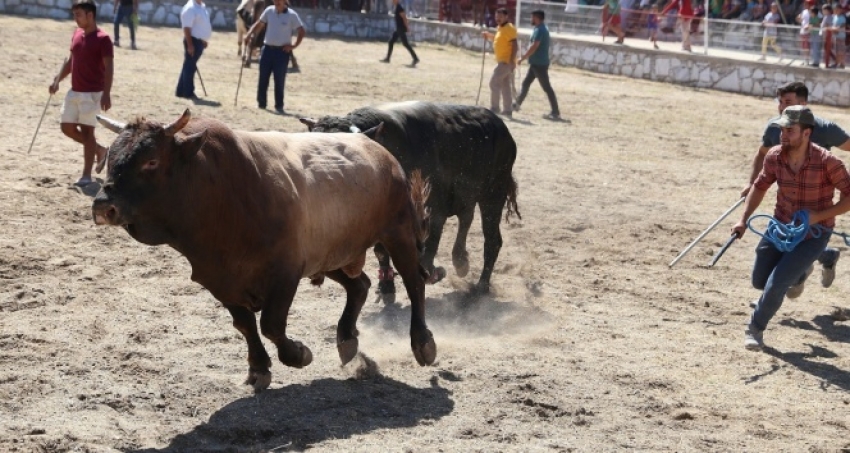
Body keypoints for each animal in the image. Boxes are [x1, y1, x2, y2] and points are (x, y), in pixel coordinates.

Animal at [92, 109, 434, 392]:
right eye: (110, 158)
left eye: (151, 161)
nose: (102, 206)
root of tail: (376, 148)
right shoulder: (218, 280)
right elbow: (245, 324)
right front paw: (258, 368)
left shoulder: (285, 272)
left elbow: (270, 324)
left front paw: (298, 353)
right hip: (332, 254)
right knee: (359, 285)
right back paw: (347, 338)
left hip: (398, 233)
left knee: (414, 282)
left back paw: (422, 342)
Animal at [302, 100, 520, 296]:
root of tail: (501, 127)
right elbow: (382, 250)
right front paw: (386, 284)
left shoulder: (433, 209)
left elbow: (427, 247)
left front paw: (431, 273)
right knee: (466, 219)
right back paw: (461, 262)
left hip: (494, 194)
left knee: (492, 239)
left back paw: (481, 286)